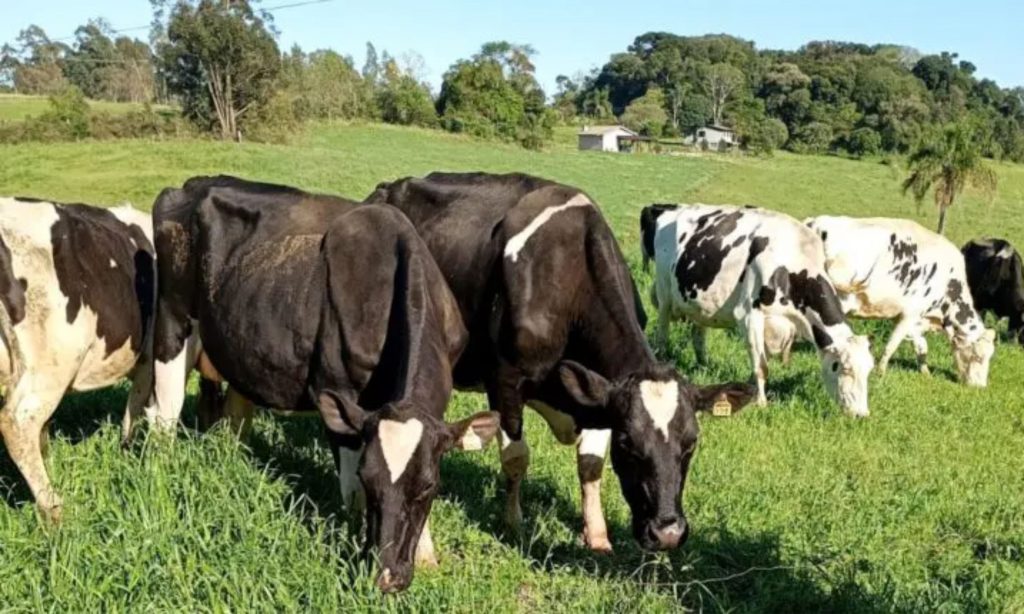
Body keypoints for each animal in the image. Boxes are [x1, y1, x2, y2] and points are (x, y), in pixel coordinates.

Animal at [0, 194, 155, 519]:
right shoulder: (151, 358)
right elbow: (136, 407)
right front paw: (127, 450)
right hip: (50, 365)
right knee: (17, 423)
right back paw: (54, 509)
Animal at [131, 176, 499, 589]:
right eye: (370, 480)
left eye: (428, 487)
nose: (387, 576)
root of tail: (194, 183)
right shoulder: (338, 392)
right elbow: (350, 490)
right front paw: (355, 542)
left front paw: (426, 556)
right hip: (173, 321)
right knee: (165, 410)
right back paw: (161, 470)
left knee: (231, 417)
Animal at [364, 173, 757, 556]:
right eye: (628, 442)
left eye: (691, 442)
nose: (668, 533)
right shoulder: (506, 380)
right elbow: (516, 457)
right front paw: (514, 522)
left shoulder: (597, 393)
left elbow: (591, 465)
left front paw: (597, 535)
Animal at [647, 203, 872, 415]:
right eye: (843, 369)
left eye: (869, 370)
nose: (861, 414)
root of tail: (672, 208)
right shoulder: (748, 315)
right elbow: (762, 366)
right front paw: (762, 403)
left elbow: (762, 360)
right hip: (664, 294)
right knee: (662, 334)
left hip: (699, 304)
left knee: (698, 336)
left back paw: (703, 365)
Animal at [802, 216, 995, 384]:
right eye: (978, 357)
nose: (979, 386)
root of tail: (815, 222)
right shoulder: (909, 315)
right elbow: (892, 345)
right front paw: (880, 372)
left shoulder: (916, 320)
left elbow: (922, 347)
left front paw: (926, 373)